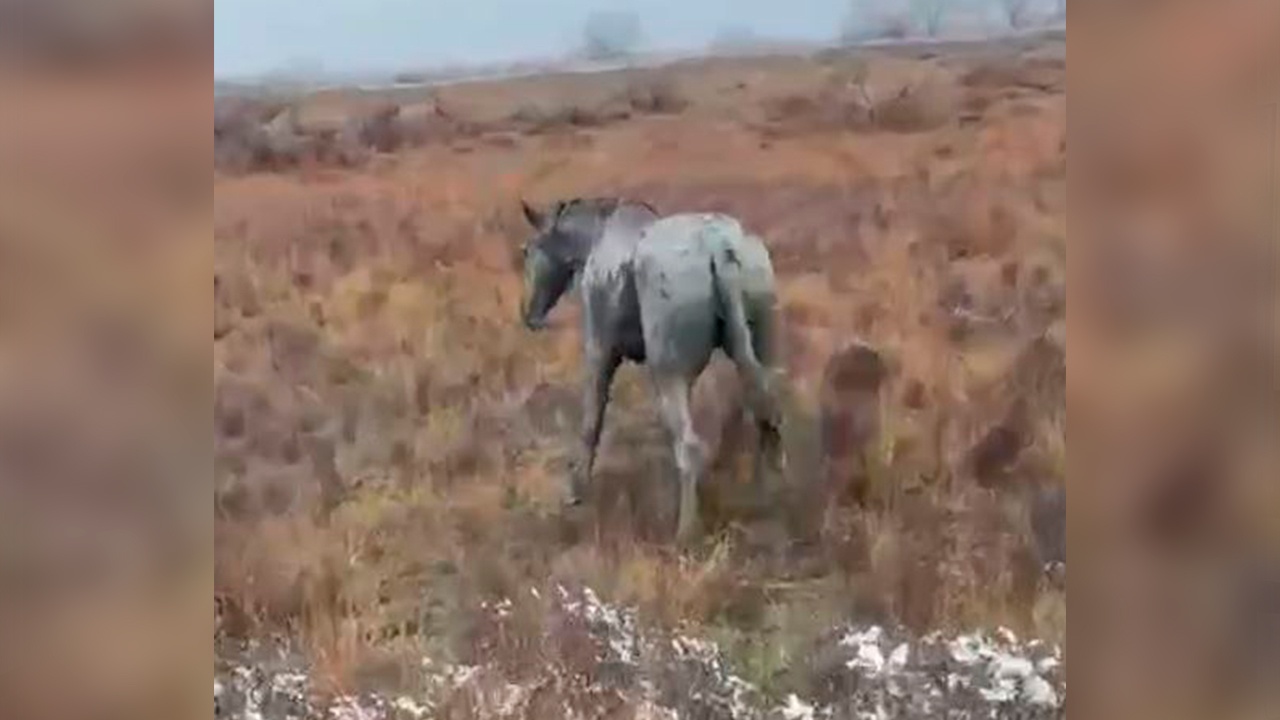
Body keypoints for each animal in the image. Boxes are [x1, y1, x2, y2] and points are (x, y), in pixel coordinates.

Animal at [517, 193, 778, 540]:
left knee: (689, 445)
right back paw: (771, 497)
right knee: (767, 418)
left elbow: (591, 423)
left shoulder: (600, 352)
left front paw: (576, 491)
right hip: (760, 353)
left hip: (669, 374)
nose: (530, 316)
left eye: (528, 250)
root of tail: (721, 250)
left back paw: (685, 532)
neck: (597, 237)